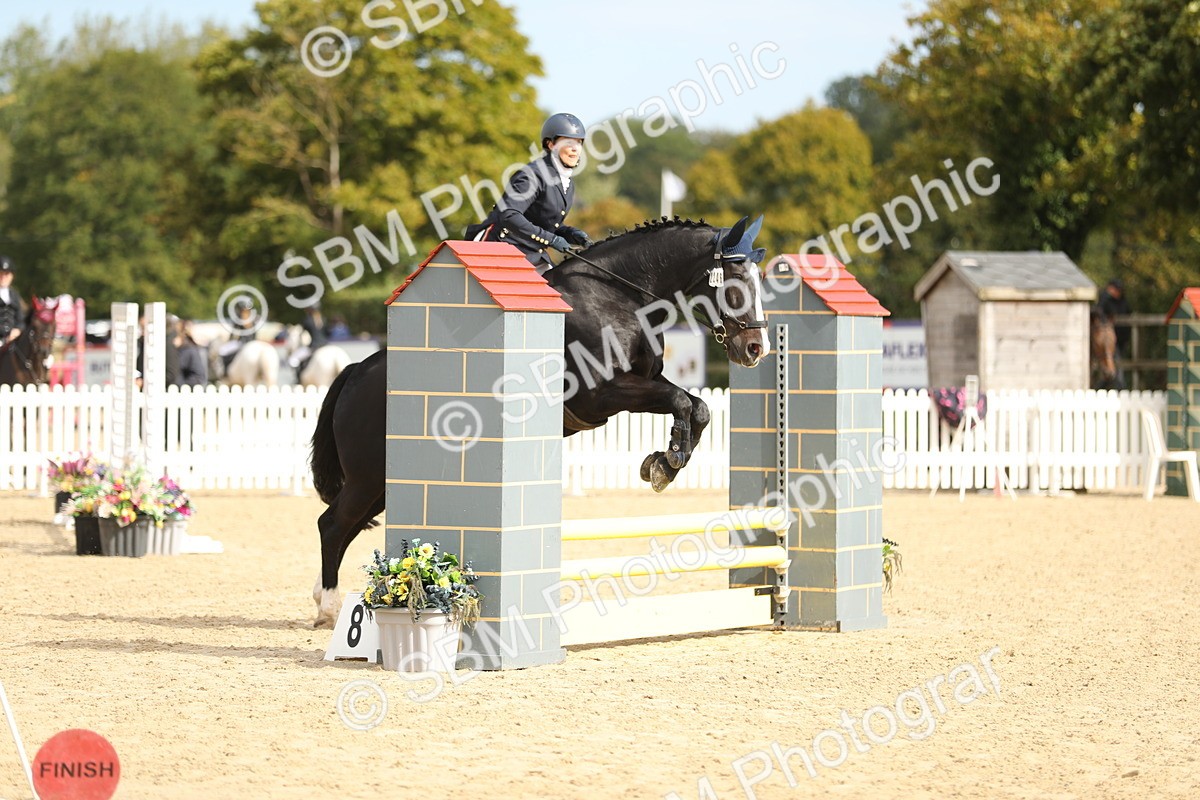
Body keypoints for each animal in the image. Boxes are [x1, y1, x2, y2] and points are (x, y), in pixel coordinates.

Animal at [307, 215, 770, 627]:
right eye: (734, 282)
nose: (756, 349)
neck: (620, 298)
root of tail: (356, 370)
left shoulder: (643, 384)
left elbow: (698, 406)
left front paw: (664, 462)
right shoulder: (603, 396)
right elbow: (680, 401)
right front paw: (667, 460)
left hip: (385, 482)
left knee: (346, 525)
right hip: (369, 473)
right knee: (333, 524)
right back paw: (330, 607)